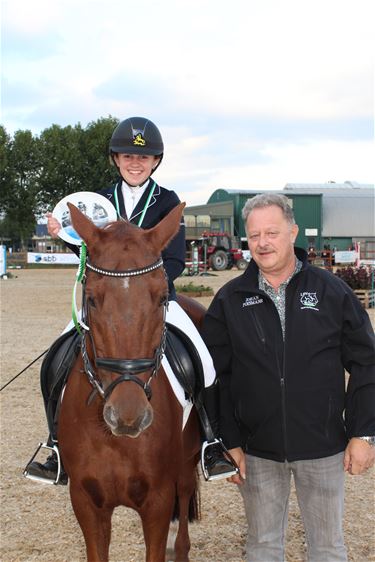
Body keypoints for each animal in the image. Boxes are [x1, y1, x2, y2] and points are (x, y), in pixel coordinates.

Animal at [59, 202, 203, 560]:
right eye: (91, 299)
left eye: (162, 298)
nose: (128, 417)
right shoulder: (86, 503)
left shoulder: (158, 502)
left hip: (187, 459)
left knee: (185, 496)